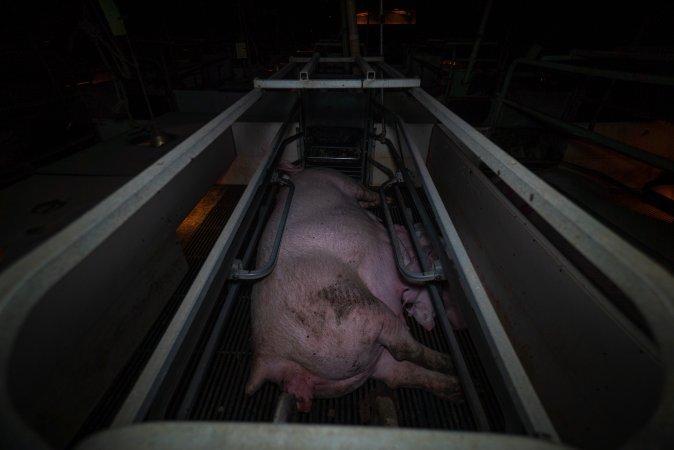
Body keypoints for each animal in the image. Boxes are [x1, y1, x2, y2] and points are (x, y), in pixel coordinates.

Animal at [244, 165, 460, 412]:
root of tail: (267, 357)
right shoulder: (342, 181)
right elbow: (366, 192)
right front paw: (383, 199)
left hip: (362, 361)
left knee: (399, 374)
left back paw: (455, 389)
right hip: (357, 313)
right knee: (403, 348)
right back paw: (449, 362)